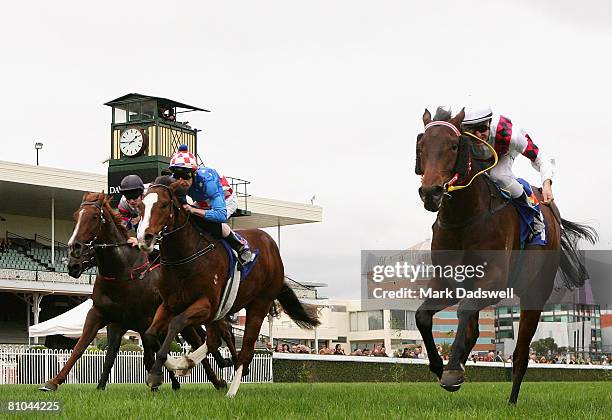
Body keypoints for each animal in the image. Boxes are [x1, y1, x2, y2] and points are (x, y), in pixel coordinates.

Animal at [38, 192, 234, 392]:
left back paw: (218, 378)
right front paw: (56, 382)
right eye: (76, 216)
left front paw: (155, 384)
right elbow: (86, 349)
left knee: (199, 340)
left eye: (93, 217)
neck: (122, 273)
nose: (73, 258)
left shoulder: (144, 321)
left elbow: (148, 356)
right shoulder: (106, 318)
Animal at [137, 177, 320, 398]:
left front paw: (156, 373)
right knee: (214, 340)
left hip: (259, 304)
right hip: (221, 312)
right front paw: (174, 363)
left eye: (164, 205)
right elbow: (150, 334)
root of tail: (272, 247)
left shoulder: (206, 305)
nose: (144, 238)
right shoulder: (170, 304)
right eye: (140, 206)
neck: (185, 256)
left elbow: (176, 323)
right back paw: (186, 362)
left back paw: (231, 392)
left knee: (246, 349)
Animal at [414, 107, 596, 404]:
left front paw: (451, 371)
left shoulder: (495, 282)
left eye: (453, 146)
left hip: (535, 293)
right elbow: (423, 317)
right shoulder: (448, 282)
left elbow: (464, 311)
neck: (465, 219)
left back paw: (511, 401)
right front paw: (441, 366)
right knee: (473, 329)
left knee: (520, 355)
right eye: (421, 146)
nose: (431, 192)